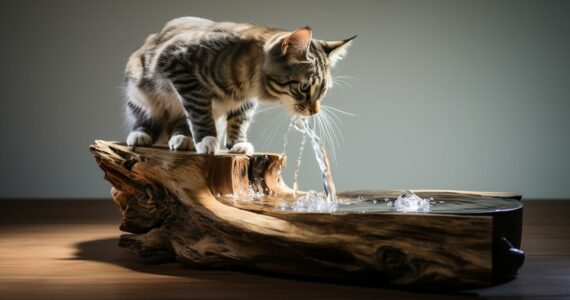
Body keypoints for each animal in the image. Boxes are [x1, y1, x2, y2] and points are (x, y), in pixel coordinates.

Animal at [125, 17, 350, 155]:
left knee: (179, 125)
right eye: (304, 87)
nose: (314, 111)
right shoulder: (179, 65)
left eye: (323, 91)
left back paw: (182, 138)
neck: (248, 84)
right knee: (145, 118)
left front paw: (237, 143)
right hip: (140, 91)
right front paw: (207, 139)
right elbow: (199, 112)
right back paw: (141, 135)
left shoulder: (245, 101)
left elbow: (240, 119)